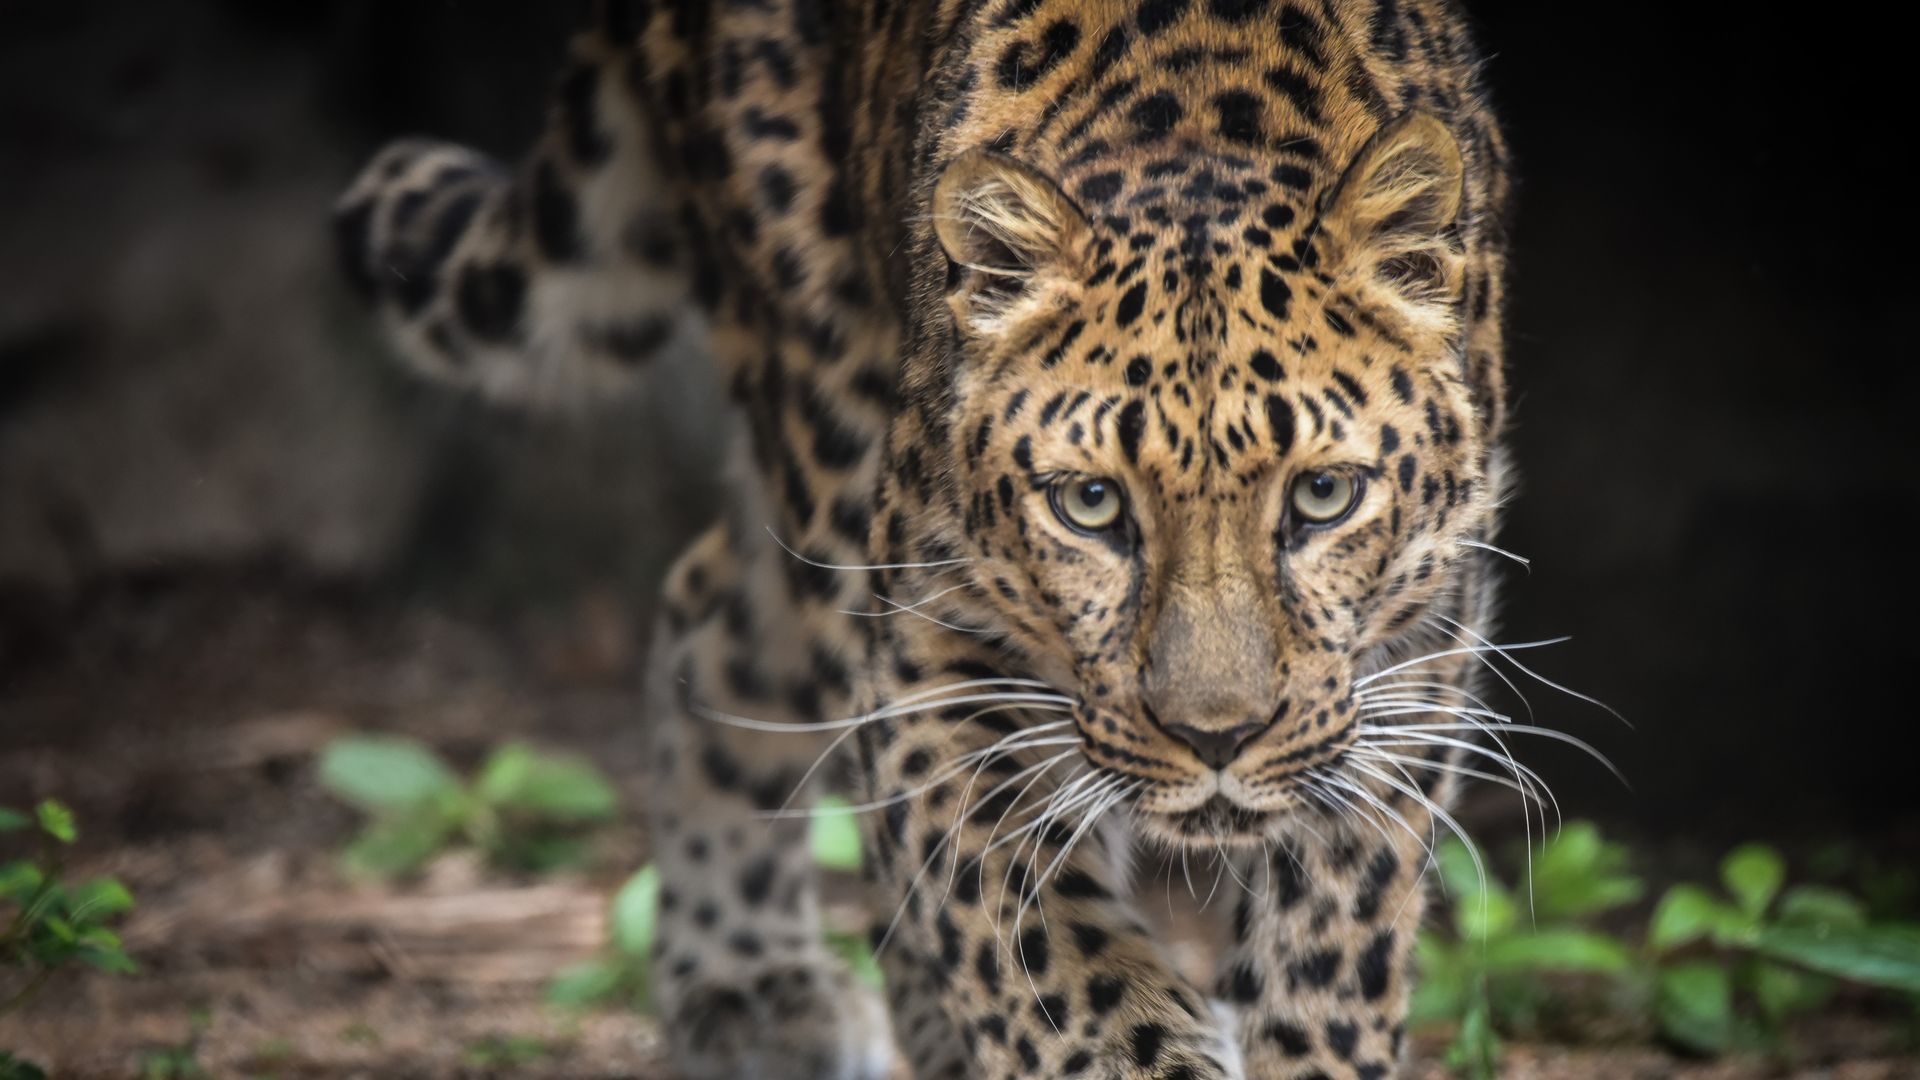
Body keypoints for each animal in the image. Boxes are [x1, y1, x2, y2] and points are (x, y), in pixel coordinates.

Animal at [333, 1, 1517, 1076]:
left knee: (714, 614)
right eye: (1092, 505)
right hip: (821, 413)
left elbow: (1330, 956)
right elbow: (1048, 964)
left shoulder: (1409, 666)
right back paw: (760, 990)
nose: (1215, 738)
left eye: (1323, 495)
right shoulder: (929, 656)